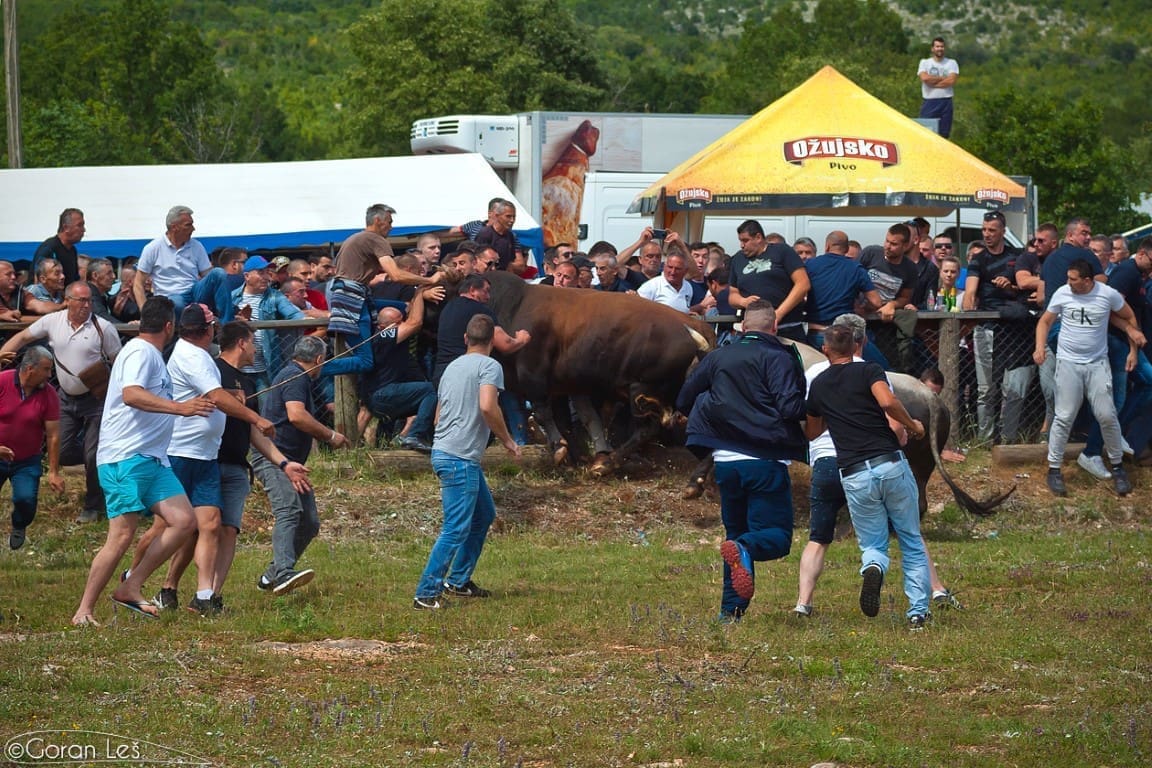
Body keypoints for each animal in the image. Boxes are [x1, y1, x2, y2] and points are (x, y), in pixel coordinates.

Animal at [477, 271, 715, 474]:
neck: (513, 308)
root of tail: (697, 326)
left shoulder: (534, 376)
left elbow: (543, 414)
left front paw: (560, 451)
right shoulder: (561, 386)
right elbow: (567, 421)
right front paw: (572, 457)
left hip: (642, 390)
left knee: (648, 428)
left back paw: (607, 462)